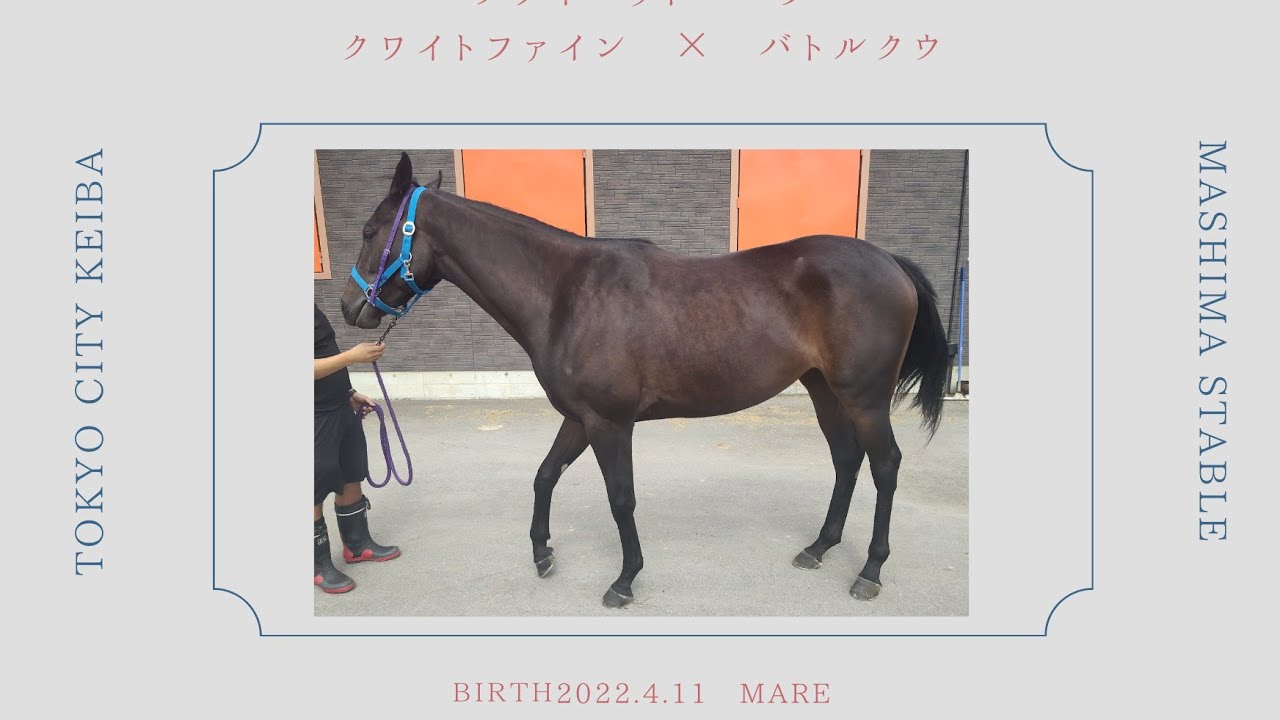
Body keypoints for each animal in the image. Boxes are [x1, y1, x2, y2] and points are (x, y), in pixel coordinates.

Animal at [340, 152, 950, 608]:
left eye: (370, 231)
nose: (349, 308)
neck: (566, 292)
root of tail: (891, 263)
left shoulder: (610, 423)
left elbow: (621, 498)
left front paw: (624, 579)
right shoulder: (579, 418)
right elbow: (544, 476)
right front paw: (542, 553)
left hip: (864, 397)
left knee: (885, 466)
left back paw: (869, 570)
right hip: (823, 389)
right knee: (846, 461)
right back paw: (819, 547)